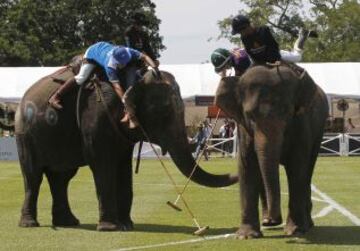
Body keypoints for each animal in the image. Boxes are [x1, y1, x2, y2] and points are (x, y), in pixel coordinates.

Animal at [15, 65, 238, 230]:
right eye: (164, 112)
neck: (132, 79)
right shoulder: (96, 116)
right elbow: (102, 165)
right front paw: (110, 227)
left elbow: (123, 167)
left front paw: (127, 226)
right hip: (25, 135)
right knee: (33, 176)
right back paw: (30, 224)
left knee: (61, 178)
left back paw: (69, 222)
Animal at [214, 63, 330, 238]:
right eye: (250, 116)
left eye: (288, 113)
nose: (276, 219)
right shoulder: (243, 129)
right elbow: (247, 165)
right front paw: (246, 236)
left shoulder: (301, 122)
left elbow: (297, 167)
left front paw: (295, 231)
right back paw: (267, 222)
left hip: (319, 130)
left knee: (308, 170)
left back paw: (307, 224)